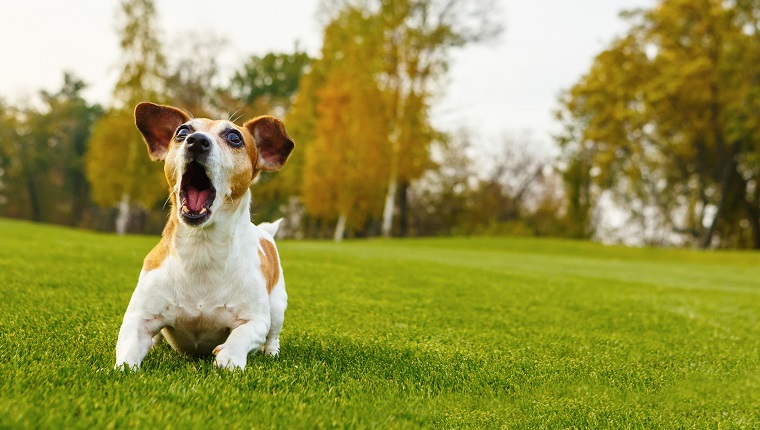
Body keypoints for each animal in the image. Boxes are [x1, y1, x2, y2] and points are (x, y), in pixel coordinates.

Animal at [115, 102, 294, 372]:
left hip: (277, 307)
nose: (197, 141)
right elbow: (127, 352)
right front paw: (123, 368)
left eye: (234, 137)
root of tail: (265, 233)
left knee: (273, 335)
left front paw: (229, 357)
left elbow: (242, 335)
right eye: (181, 132)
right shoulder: (139, 318)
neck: (202, 247)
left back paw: (271, 352)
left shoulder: (255, 321)